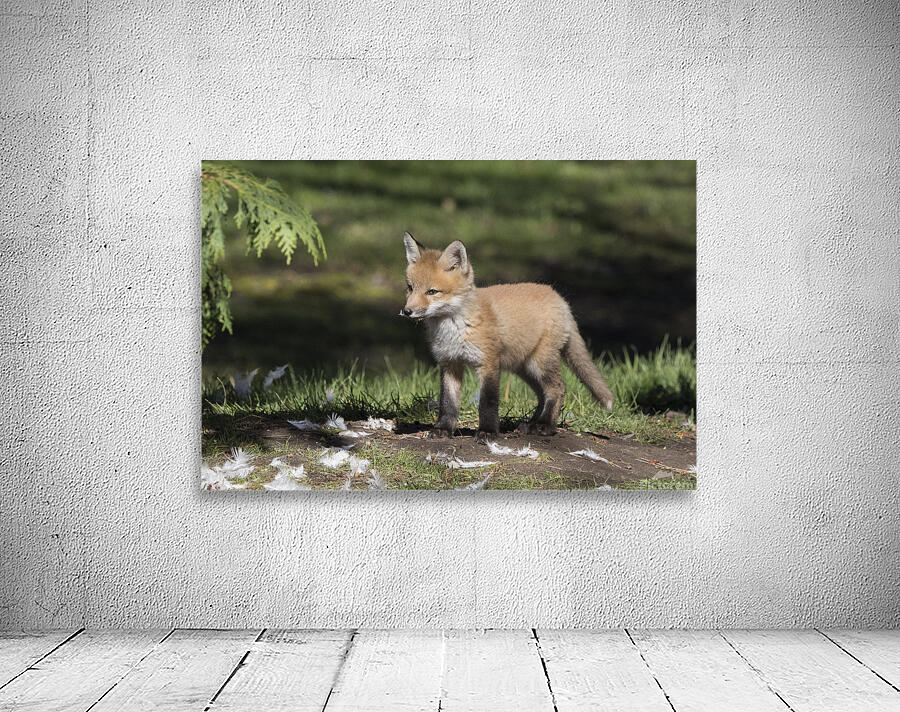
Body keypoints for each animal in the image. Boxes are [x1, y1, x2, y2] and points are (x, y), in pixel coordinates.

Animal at [400, 232, 614, 442]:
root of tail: (559, 297)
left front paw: (488, 432)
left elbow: (488, 401)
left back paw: (545, 426)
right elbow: (448, 402)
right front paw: (443, 429)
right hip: (524, 367)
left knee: (557, 389)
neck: (455, 328)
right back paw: (531, 424)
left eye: (432, 291)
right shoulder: (450, 362)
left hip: (540, 362)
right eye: (410, 287)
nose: (406, 311)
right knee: (542, 394)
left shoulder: (488, 362)